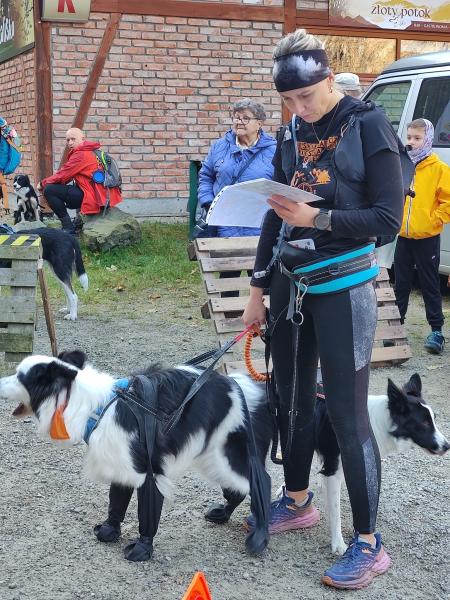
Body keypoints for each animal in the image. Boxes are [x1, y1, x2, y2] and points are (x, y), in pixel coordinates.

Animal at [0, 352, 270, 564]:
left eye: (20, 376)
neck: (97, 407)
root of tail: (243, 386)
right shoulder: (121, 463)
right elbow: (117, 501)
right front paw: (109, 530)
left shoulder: (150, 469)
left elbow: (146, 513)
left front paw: (142, 548)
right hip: (212, 457)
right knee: (238, 488)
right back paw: (223, 514)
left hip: (229, 455)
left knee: (261, 481)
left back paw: (260, 534)